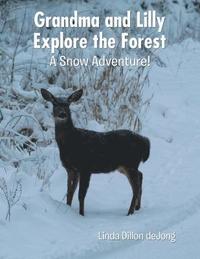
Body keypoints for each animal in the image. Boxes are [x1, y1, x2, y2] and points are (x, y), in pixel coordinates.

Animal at [40, 89, 150, 217]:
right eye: (55, 103)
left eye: (67, 104)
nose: (62, 114)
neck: (71, 142)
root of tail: (144, 141)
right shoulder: (71, 169)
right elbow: (69, 192)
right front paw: (68, 209)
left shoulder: (85, 167)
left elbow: (81, 195)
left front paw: (81, 214)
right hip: (124, 166)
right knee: (140, 175)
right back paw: (137, 207)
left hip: (130, 163)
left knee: (136, 187)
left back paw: (130, 212)